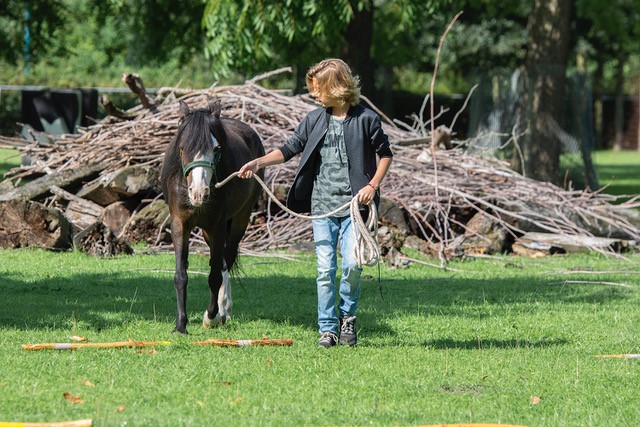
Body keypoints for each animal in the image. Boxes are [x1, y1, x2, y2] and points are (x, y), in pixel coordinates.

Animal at [161, 100, 264, 334]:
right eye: (182, 148)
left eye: (216, 149)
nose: (199, 193)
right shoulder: (180, 225)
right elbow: (180, 276)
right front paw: (181, 324)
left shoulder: (218, 226)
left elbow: (214, 276)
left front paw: (211, 316)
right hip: (207, 232)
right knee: (223, 262)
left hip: (239, 221)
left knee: (226, 259)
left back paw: (223, 311)